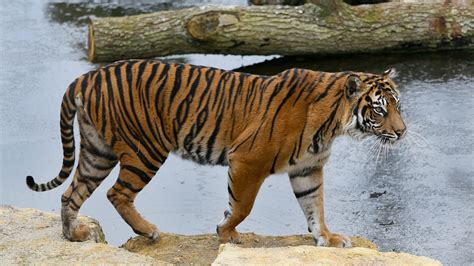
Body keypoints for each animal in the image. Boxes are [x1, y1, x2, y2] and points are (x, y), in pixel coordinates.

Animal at [25, 59, 406, 247]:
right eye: (379, 109)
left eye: (398, 105)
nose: (402, 132)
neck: (333, 124)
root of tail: (86, 76)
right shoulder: (248, 160)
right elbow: (242, 205)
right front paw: (226, 231)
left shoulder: (308, 169)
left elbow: (315, 206)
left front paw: (326, 237)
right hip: (145, 149)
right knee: (116, 193)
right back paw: (149, 231)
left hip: (97, 151)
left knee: (71, 193)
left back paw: (73, 235)